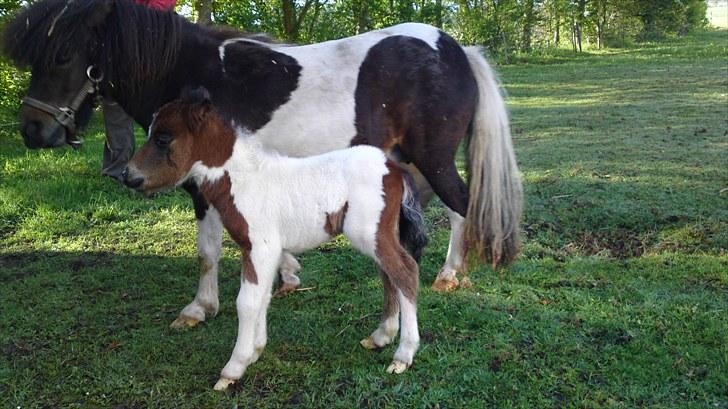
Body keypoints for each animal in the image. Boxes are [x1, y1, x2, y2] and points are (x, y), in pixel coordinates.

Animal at [1, 0, 524, 326]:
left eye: (63, 55)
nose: (32, 130)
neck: (195, 76)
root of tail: (458, 50)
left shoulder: (203, 187)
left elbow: (208, 249)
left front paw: (199, 308)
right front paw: (288, 274)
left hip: (433, 159)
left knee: (461, 208)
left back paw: (450, 274)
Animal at [124, 88, 426, 388]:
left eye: (163, 138)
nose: (128, 175)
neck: (244, 180)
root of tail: (394, 168)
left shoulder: (261, 247)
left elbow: (247, 302)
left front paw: (233, 368)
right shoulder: (260, 250)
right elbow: (262, 297)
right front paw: (255, 351)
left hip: (369, 233)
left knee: (405, 272)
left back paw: (403, 355)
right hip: (380, 235)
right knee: (389, 275)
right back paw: (381, 336)